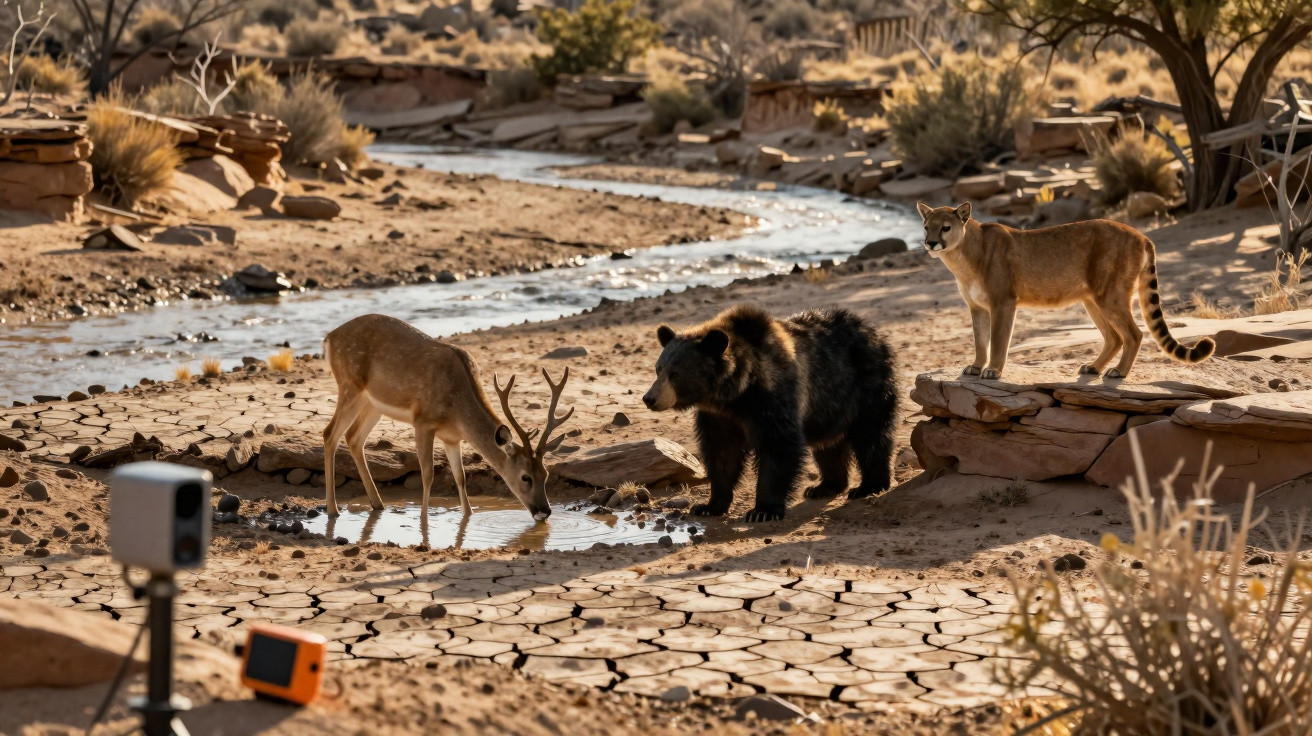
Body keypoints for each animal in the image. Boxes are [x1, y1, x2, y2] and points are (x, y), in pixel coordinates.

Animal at [320, 314, 574, 521]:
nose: (545, 511)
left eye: (545, 474)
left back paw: (378, 505)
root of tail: (329, 338)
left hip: (373, 404)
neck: (456, 408)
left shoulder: (451, 437)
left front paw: (468, 515)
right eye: (525, 477)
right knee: (330, 433)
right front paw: (423, 520)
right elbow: (428, 474)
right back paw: (333, 510)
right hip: (349, 385)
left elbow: (460, 477)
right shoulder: (423, 421)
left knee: (354, 437)